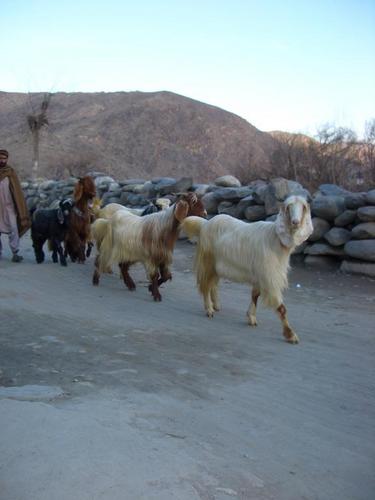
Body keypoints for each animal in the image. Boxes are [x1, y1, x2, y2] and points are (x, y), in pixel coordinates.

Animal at [182, 195, 314, 344]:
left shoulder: (260, 275)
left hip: (216, 265)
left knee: (213, 284)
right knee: (206, 285)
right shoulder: (269, 276)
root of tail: (206, 223)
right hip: (208, 260)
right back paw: (209, 309)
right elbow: (281, 308)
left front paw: (251, 317)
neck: (275, 239)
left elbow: (255, 296)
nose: (295, 222)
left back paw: (216, 305)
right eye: (288, 207)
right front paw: (291, 335)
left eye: (303, 207)